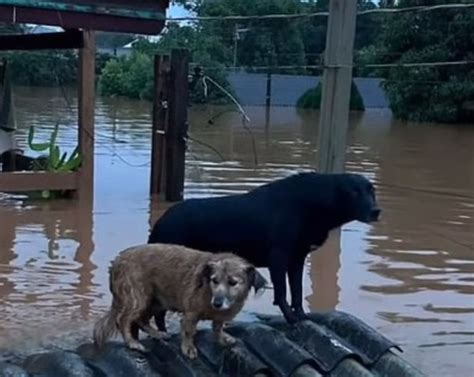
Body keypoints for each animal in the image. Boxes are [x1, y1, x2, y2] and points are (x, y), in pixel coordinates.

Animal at [92, 242, 266, 356]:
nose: (217, 303)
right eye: (214, 280)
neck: (209, 293)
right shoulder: (190, 313)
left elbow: (218, 327)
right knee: (124, 319)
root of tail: (117, 260)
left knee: (142, 319)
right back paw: (133, 343)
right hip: (139, 297)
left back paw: (158, 334)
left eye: (232, 282)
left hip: (157, 301)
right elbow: (189, 331)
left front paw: (222, 337)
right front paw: (188, 348)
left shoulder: (219, 316)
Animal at [149, 173, 382, 324]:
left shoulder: (297, 259)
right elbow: (281, 292)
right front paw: (291, 318)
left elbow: (297, 291)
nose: (376, 211)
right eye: (354, 192)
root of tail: (162, 221)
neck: (310, 203)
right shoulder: (278, 257)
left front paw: (301, 316)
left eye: (372, 190)